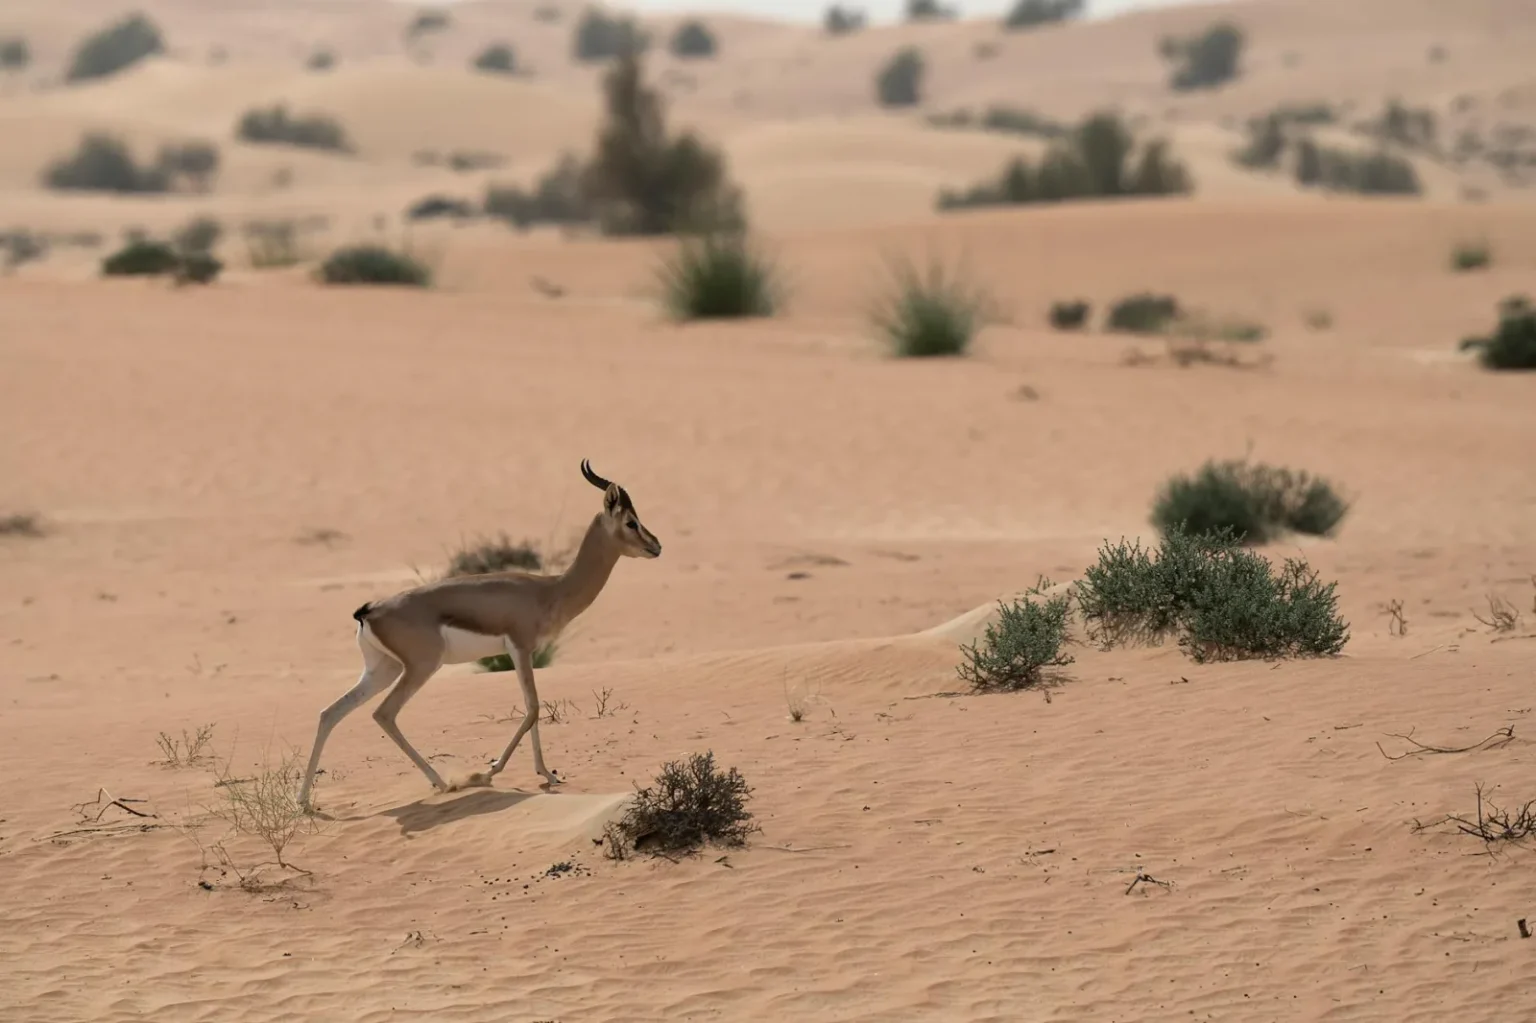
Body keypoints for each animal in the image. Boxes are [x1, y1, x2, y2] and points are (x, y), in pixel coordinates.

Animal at [297, 460, 662, 810]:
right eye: (631, 522)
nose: (656, 546)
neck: (550, 589)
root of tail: (369, 611)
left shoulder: (524, 653)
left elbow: (533, 709)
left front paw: (547, 775)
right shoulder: (520, 648)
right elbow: (533, 708)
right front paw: (489, 772)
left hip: (382, 670)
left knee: (330, 713)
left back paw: (304, 801)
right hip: (419, 668)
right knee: (384, 714)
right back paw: (443, 782)